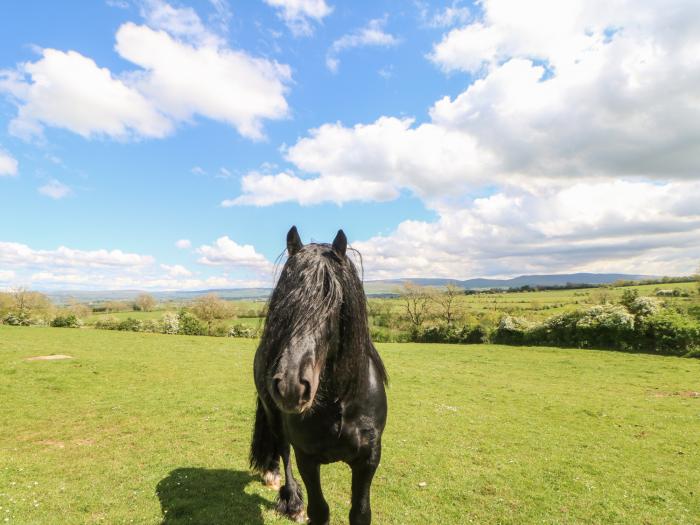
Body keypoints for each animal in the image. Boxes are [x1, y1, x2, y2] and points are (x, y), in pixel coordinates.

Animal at [249, 225, 388, 524]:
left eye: (335, 304)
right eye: (282, 301)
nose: (291, 386)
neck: (339, 403)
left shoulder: (369, 459)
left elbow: (360, 512)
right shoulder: (307, 458)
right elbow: (319, 510)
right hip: (273, 414)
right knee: (282, 449)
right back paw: (289, 497)